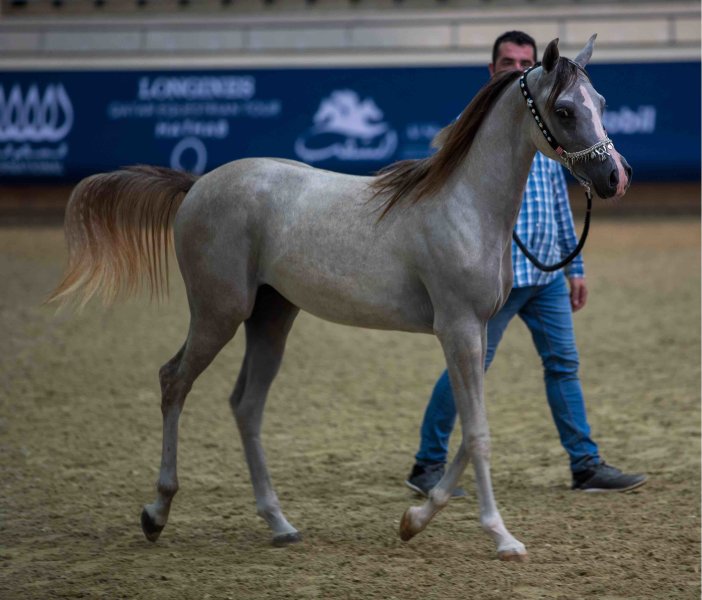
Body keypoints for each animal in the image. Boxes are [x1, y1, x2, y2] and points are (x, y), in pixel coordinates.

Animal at [49, 37, 632, 564]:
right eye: (564, 110)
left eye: (601, 102)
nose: (614, 177)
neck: (464, 205)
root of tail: (197, 184)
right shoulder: (459, 329)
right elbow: (477, 431)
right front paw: (502, 537)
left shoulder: (480, 330)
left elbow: (470, 430)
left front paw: (412, 521)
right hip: (219, 313)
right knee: (174, 381)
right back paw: (156, 513)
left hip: (271, 316)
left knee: (246, 405)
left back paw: (279, 524)